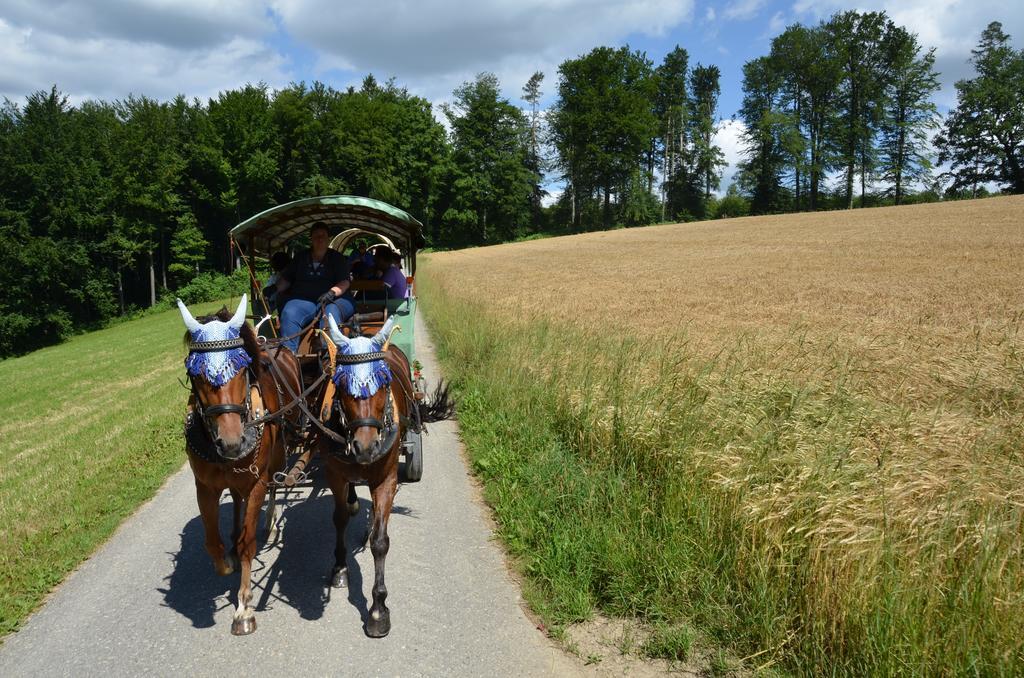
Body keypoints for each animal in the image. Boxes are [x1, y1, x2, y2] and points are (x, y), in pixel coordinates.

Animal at [177, 297, 299, 639]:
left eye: (243, 368)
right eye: (196, 374)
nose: (231, 442)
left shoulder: (256, 482)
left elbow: (248, 542)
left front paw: (244, 606)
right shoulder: (204, 487)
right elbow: (211, 542)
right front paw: (227, 561)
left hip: (279, 454)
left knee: (274, 485)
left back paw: (270, 521)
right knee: (235, 498)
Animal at [317, 315, 450, 639]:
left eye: (384, 382)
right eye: (341, 385)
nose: (366, 446)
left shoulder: (386, 480)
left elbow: (380, 541)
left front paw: (378, 610)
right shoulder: (334, 473)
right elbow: (339, 518)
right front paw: (340, 568)